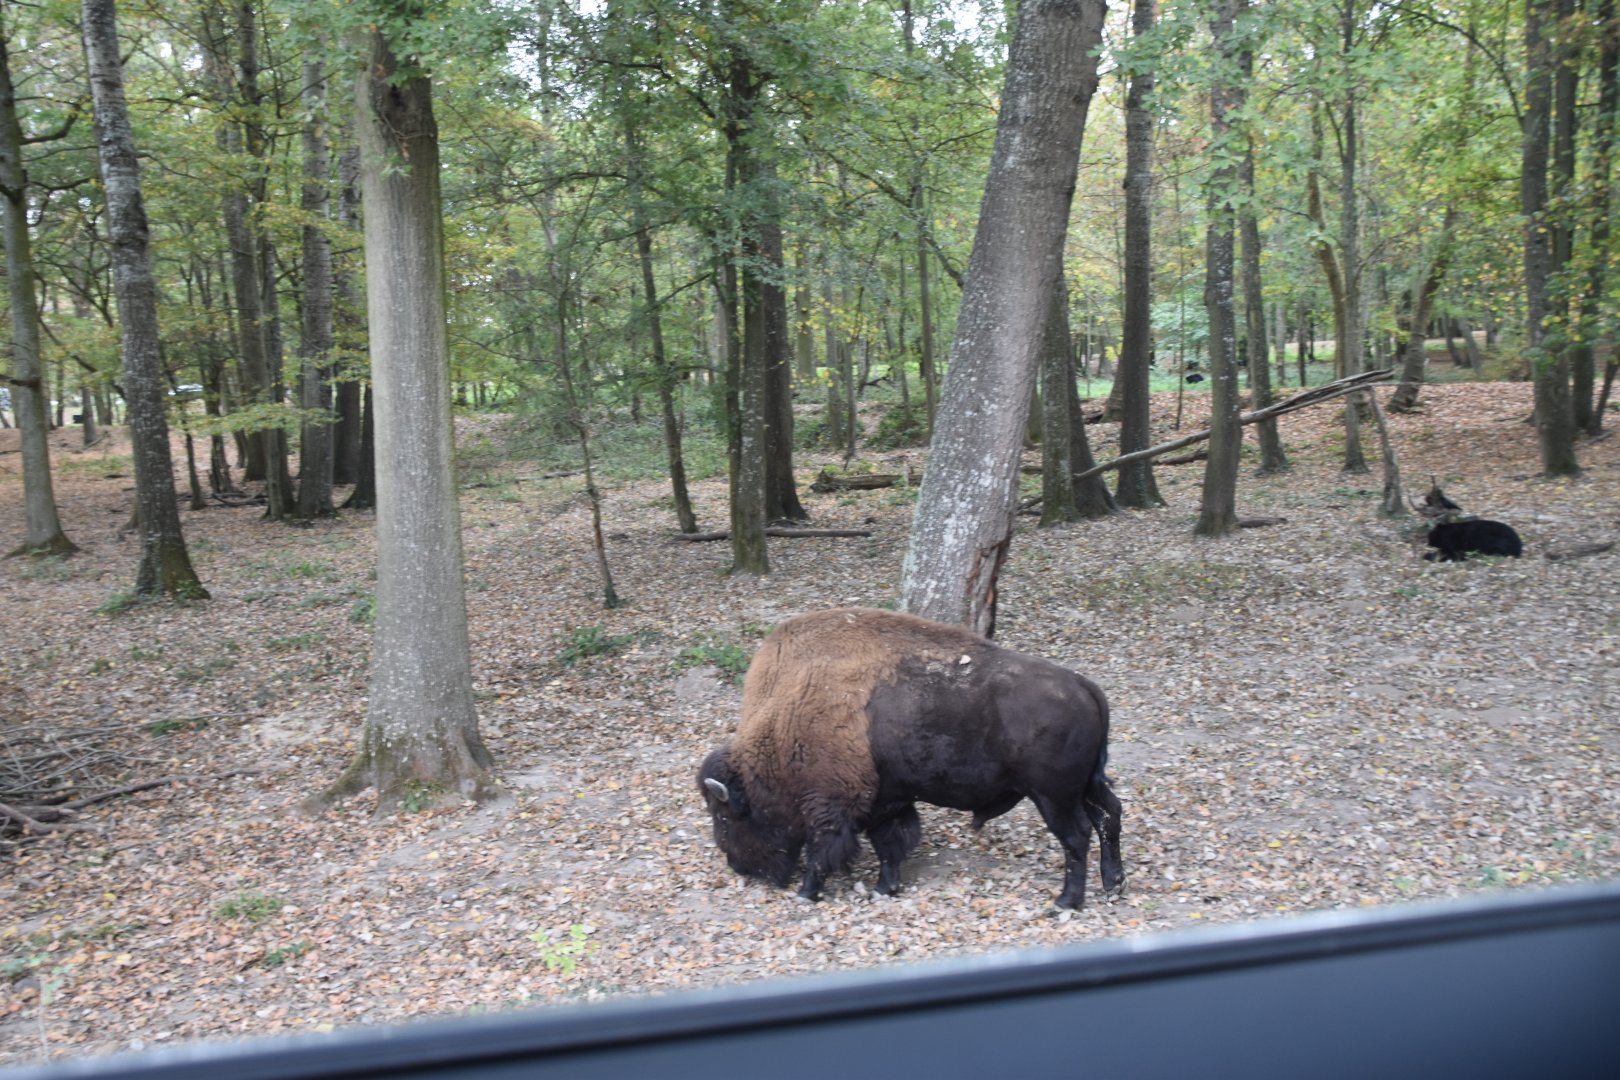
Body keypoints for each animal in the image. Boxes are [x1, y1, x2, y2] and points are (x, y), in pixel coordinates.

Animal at [698, 608, 1124, 909]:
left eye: (725, 816)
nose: (738, 866)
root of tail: (1085, 686)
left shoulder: (831, 806)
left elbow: (824, 852)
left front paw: (807, 893)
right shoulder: (887, 800)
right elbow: (891, 844)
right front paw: (884, 889)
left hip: (1053, 797)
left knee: (1077, 836)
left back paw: (1066, 901)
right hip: (1086, 786)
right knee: (1109, 815)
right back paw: (1114, 886)